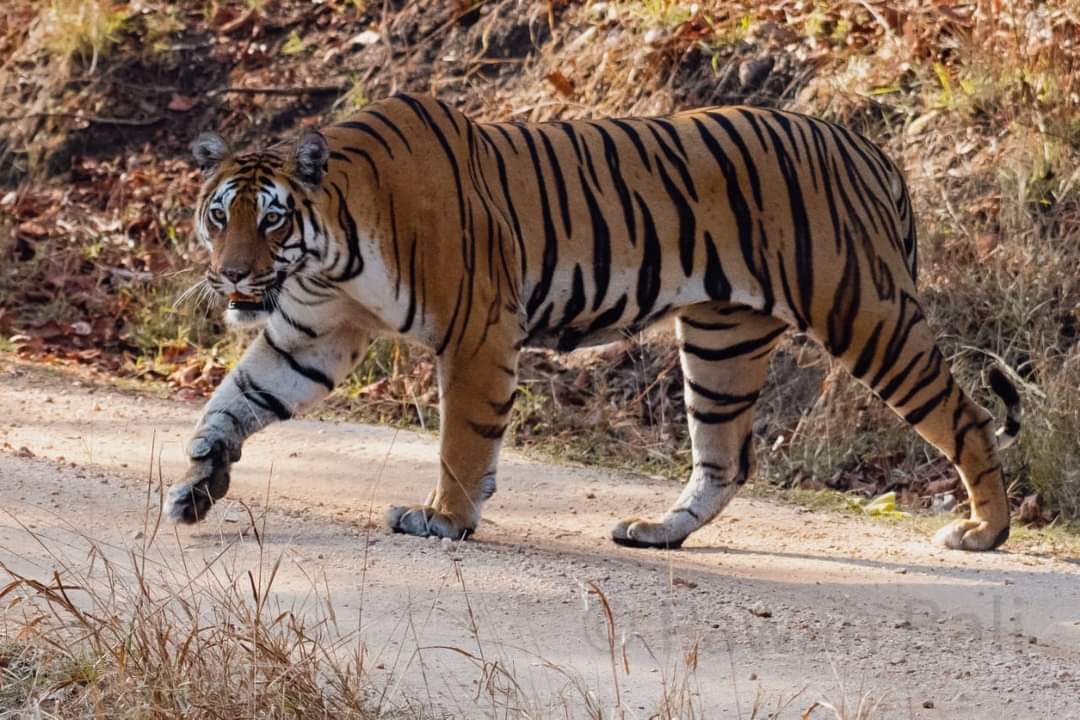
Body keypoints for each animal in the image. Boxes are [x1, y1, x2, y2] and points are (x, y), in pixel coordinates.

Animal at [164, 91, 1023, 552]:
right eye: (220, 215)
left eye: (271, 220)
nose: (232, 274)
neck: (331, 249)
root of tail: (871, 148)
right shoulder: (315, 333)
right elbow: (235, 400)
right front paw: (199, 482)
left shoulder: (477, 330)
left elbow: (462, 440)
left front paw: (444, 519)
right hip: (721, 340)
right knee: (726, 458)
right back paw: (657, 532)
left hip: (865, 313)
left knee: (966, 416)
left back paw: (985, 533)